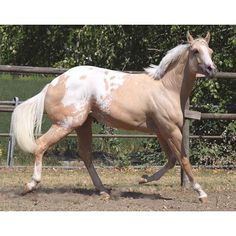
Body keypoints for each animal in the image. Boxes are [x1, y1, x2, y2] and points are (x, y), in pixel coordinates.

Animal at [11, 31, 218, 203]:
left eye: (210, 50)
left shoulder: (161, 131)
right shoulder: (171, 130)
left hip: (83, 125)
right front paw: (201, 193)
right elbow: (184, 159)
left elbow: (171, 160)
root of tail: (52, 85)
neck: (166, 87)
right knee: (41, 144)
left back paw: (103, 190)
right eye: (195, 51)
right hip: (66, 124)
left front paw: (143, 179)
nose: (211, 69)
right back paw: (30, 185)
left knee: (85, 155)